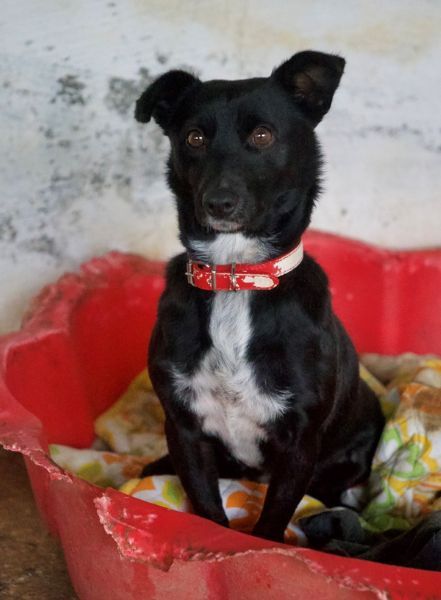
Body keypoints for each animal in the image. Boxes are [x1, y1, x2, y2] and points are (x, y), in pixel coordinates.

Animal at [134, 50, 385, 543]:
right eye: (193, 138)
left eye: (262, 135)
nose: (218, 203)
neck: (237, 278)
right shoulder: (185, 428)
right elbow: (208, 508)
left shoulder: (300, 441)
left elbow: (272, 521)